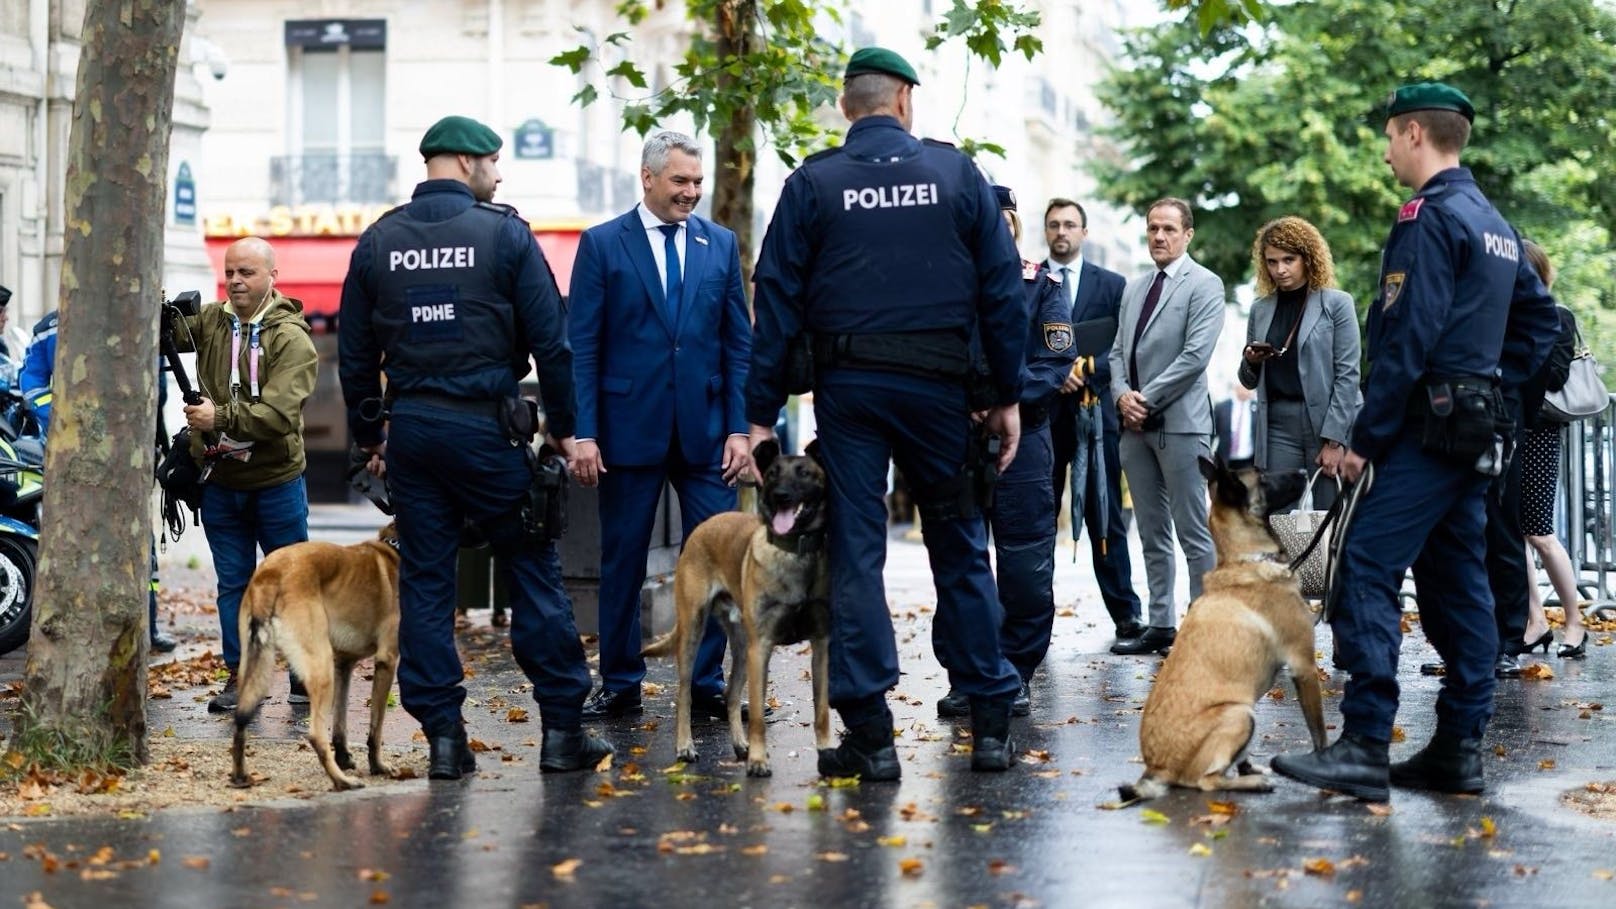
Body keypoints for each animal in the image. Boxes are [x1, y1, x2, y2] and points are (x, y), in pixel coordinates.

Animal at [231, 520, 400, 789]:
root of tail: (273, 573)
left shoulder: (343, 665)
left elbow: (340, 723)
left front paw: (344, 757)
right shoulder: (387, 661)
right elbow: (376, 728)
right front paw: (377, 766)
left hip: (254, 665)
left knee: (240, 721)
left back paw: (240, 776)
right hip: (321, 668)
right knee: (315, 735)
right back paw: (342, 781)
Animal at [636, 436, 827, 769]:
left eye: (804, 473)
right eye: (773, 473)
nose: (781, 495)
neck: (793, 553)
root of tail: (704, 525)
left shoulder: (819, 645)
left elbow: (823, 712)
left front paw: (828, 756)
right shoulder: (761, 647)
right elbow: (759, 717)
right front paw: (759, 762)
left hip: (740, 647)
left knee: (732, 695)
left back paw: (739, 744)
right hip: (694, 631)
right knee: (685, 694)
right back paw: (685, 747)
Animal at [1124, 459, 1325, 799]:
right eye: (1263, 477)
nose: (1303, 471)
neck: (1245, 559)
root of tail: (1157, 768)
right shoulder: (1304, 667)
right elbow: (1318, 732)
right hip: (1240, 713)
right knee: (1208, 781)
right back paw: (1251, 784)